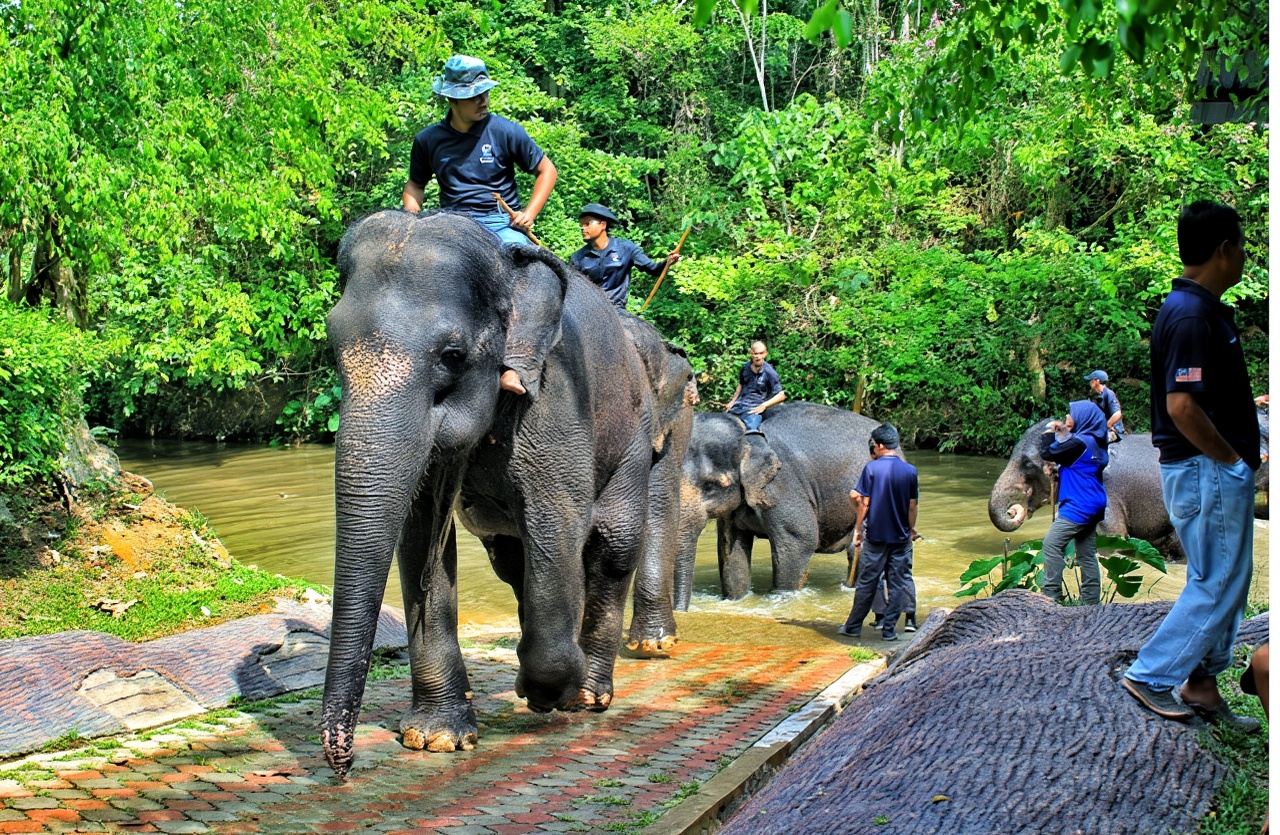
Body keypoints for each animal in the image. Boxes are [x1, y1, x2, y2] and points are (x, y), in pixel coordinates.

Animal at [321, 211, 661, 777]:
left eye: (452, 355)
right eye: (333, 347)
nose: (342, 766)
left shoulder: (553, 398)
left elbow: (558, 523)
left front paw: (544, 693)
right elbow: (421, 536)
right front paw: (436, 737)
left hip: (634, 433)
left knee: (612, 545)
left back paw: (590, 695)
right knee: (512, 559)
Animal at [672, 402, 882, 606]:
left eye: (711, 486)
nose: (681, 612)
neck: (745, 431)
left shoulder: (782, 484)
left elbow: (800, 539)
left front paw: (783, 599)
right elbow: (730, 550)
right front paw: (736, 601)